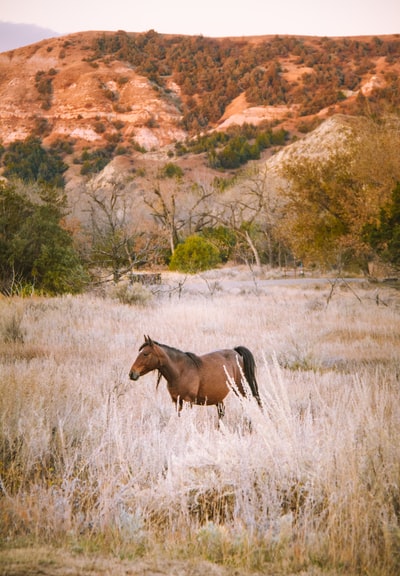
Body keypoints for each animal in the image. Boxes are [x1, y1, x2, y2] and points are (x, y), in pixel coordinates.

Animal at [127, 332, 262, 418]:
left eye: (145, 354)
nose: (132, 373)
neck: (180, 372)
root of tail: (236, 352)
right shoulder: (177, 402)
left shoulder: (188, 401)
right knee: (221, 412)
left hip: (241, 390)